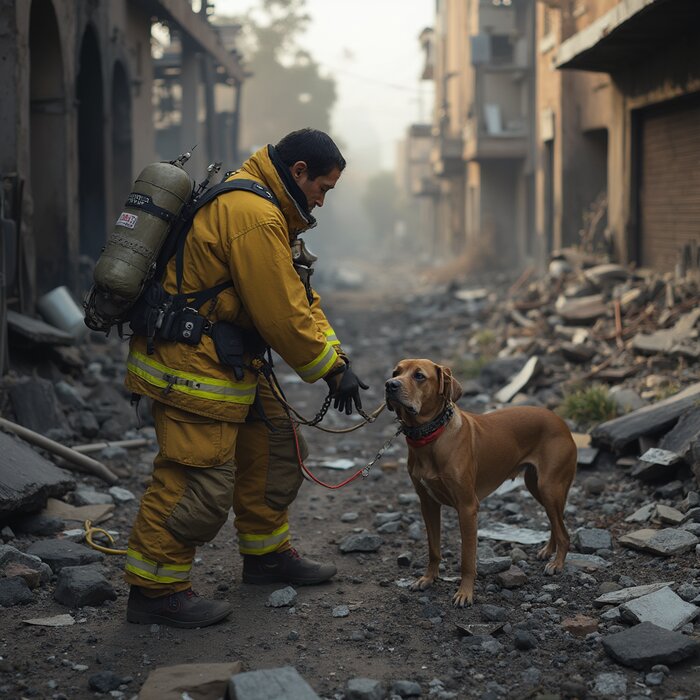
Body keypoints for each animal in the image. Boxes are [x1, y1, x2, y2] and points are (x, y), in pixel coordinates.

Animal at [386, 358, 576, 604]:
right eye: (395, 372)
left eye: (419, 376)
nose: (390, 384)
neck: (430, 437)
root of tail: (561, 421)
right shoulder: (428, 504)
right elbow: (434, 549)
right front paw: (428, 579)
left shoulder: (467, 508)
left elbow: (467, 558)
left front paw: (465, 593)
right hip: (537, 486)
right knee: (556, 521)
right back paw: (548, 550)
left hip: (550, 487)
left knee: (564, 533)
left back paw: (558, 562)